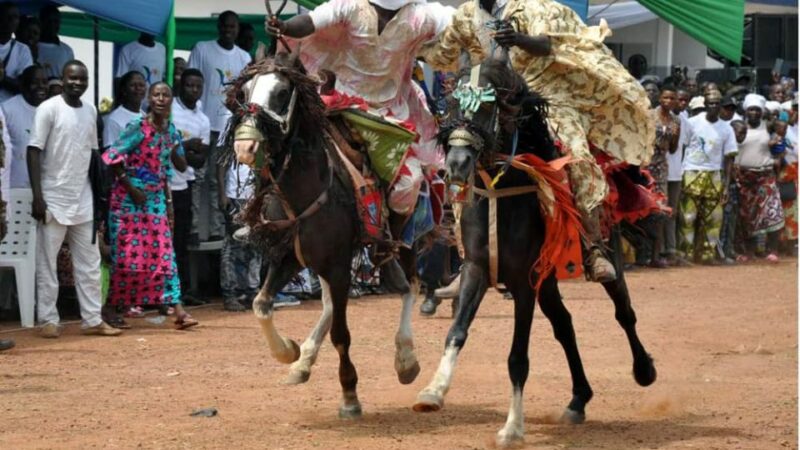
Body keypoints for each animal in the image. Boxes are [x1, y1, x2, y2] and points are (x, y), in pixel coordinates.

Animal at [412, 59, 656, 446]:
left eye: (487, 107)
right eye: (450, 105)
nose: (457, 163)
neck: (502, 192)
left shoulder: (524, 283)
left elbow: (517, 358)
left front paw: (512, 427)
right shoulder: (477, 270)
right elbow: (456, 332)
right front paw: (432, 392)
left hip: (607, 262)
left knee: (624, 313)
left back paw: (644, 369)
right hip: (549, 281)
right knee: (565, 326)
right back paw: (578, 400)